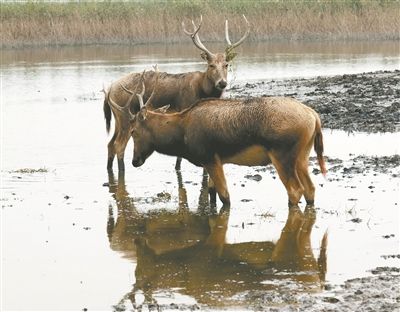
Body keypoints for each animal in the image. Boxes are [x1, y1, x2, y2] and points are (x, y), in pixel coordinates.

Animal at [102, 14, 250, 172]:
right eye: (211, 65)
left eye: (226, 65)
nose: (222, 83)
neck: (202, 90)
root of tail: (110, 90)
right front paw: (177, 167)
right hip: (125, 116)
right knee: (119, 145)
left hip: (118, 119)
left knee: (110, 144)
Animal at [108, 66, 326, 210]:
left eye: (134, 131)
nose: (135, 160)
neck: (181, 132)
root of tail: (314, 117)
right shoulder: (215, 161)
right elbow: (213, 195)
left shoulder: (210, 159)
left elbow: (225, 199)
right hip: (302, 157)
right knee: (310, 189)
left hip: (282, 156)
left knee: (295, 191)